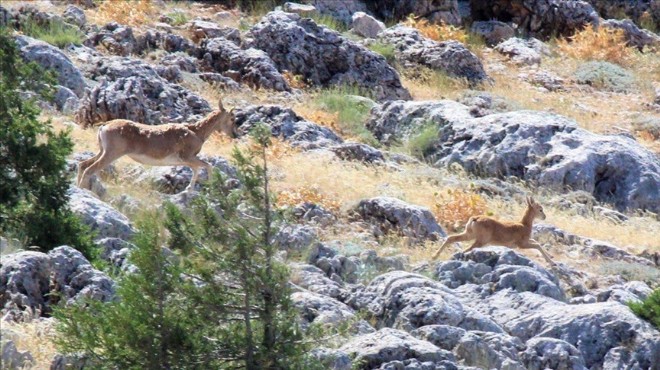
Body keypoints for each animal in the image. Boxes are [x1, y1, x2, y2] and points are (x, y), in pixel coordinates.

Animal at [78, 99, 236, 191]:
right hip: (111, 153)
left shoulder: (187, 161)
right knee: (89, 170)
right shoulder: (188, 157)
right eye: (232, 118)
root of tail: (104, 126)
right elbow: (207, 166)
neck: (196, 132)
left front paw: (189, 189)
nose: (234, 134)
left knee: (83, 165)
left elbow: (197, 169)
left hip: (102, 151)